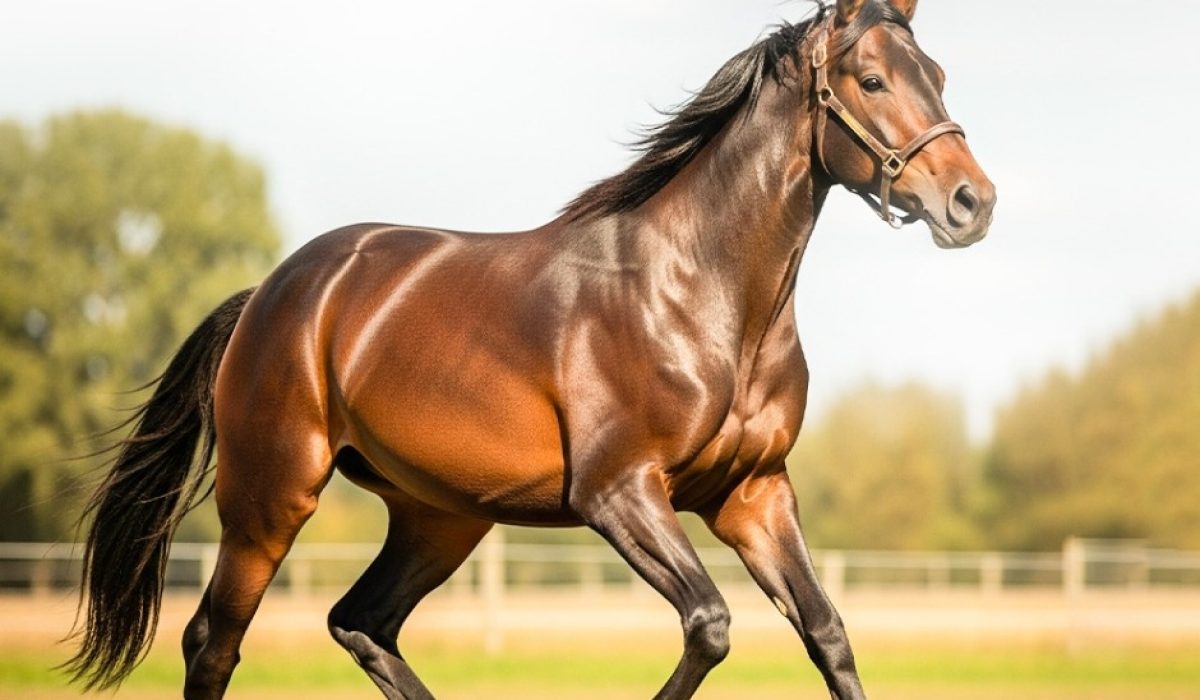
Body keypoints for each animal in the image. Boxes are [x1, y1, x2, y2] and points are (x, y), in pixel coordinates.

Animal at [68, 1, 994, 698]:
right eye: (870, 80)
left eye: (939, 76)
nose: (971, 202)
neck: (701, 297)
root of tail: (268, 295)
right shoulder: (618, 491)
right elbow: (709, 626)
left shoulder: (753, 494)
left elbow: (826, 631)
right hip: (269, 501)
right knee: (213, 642)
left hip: (440, 516)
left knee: (361, 623)